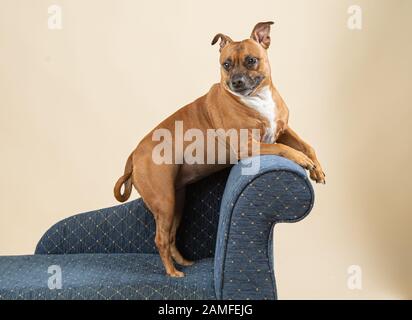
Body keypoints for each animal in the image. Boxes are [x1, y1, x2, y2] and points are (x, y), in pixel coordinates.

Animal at [114, 21, 326, 278]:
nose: (236, 82)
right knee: (161, 240)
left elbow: (307, 145)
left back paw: (183, 263)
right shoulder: (248, 146)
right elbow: (281, 148)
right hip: (164, 202)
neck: (257, 98)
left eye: (251, 60)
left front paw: (317, 168)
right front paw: (303, 161)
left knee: (171, 237)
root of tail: (134, 155)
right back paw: (172, 272)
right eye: (226, 64)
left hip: (177, 202)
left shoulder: (283, 130)